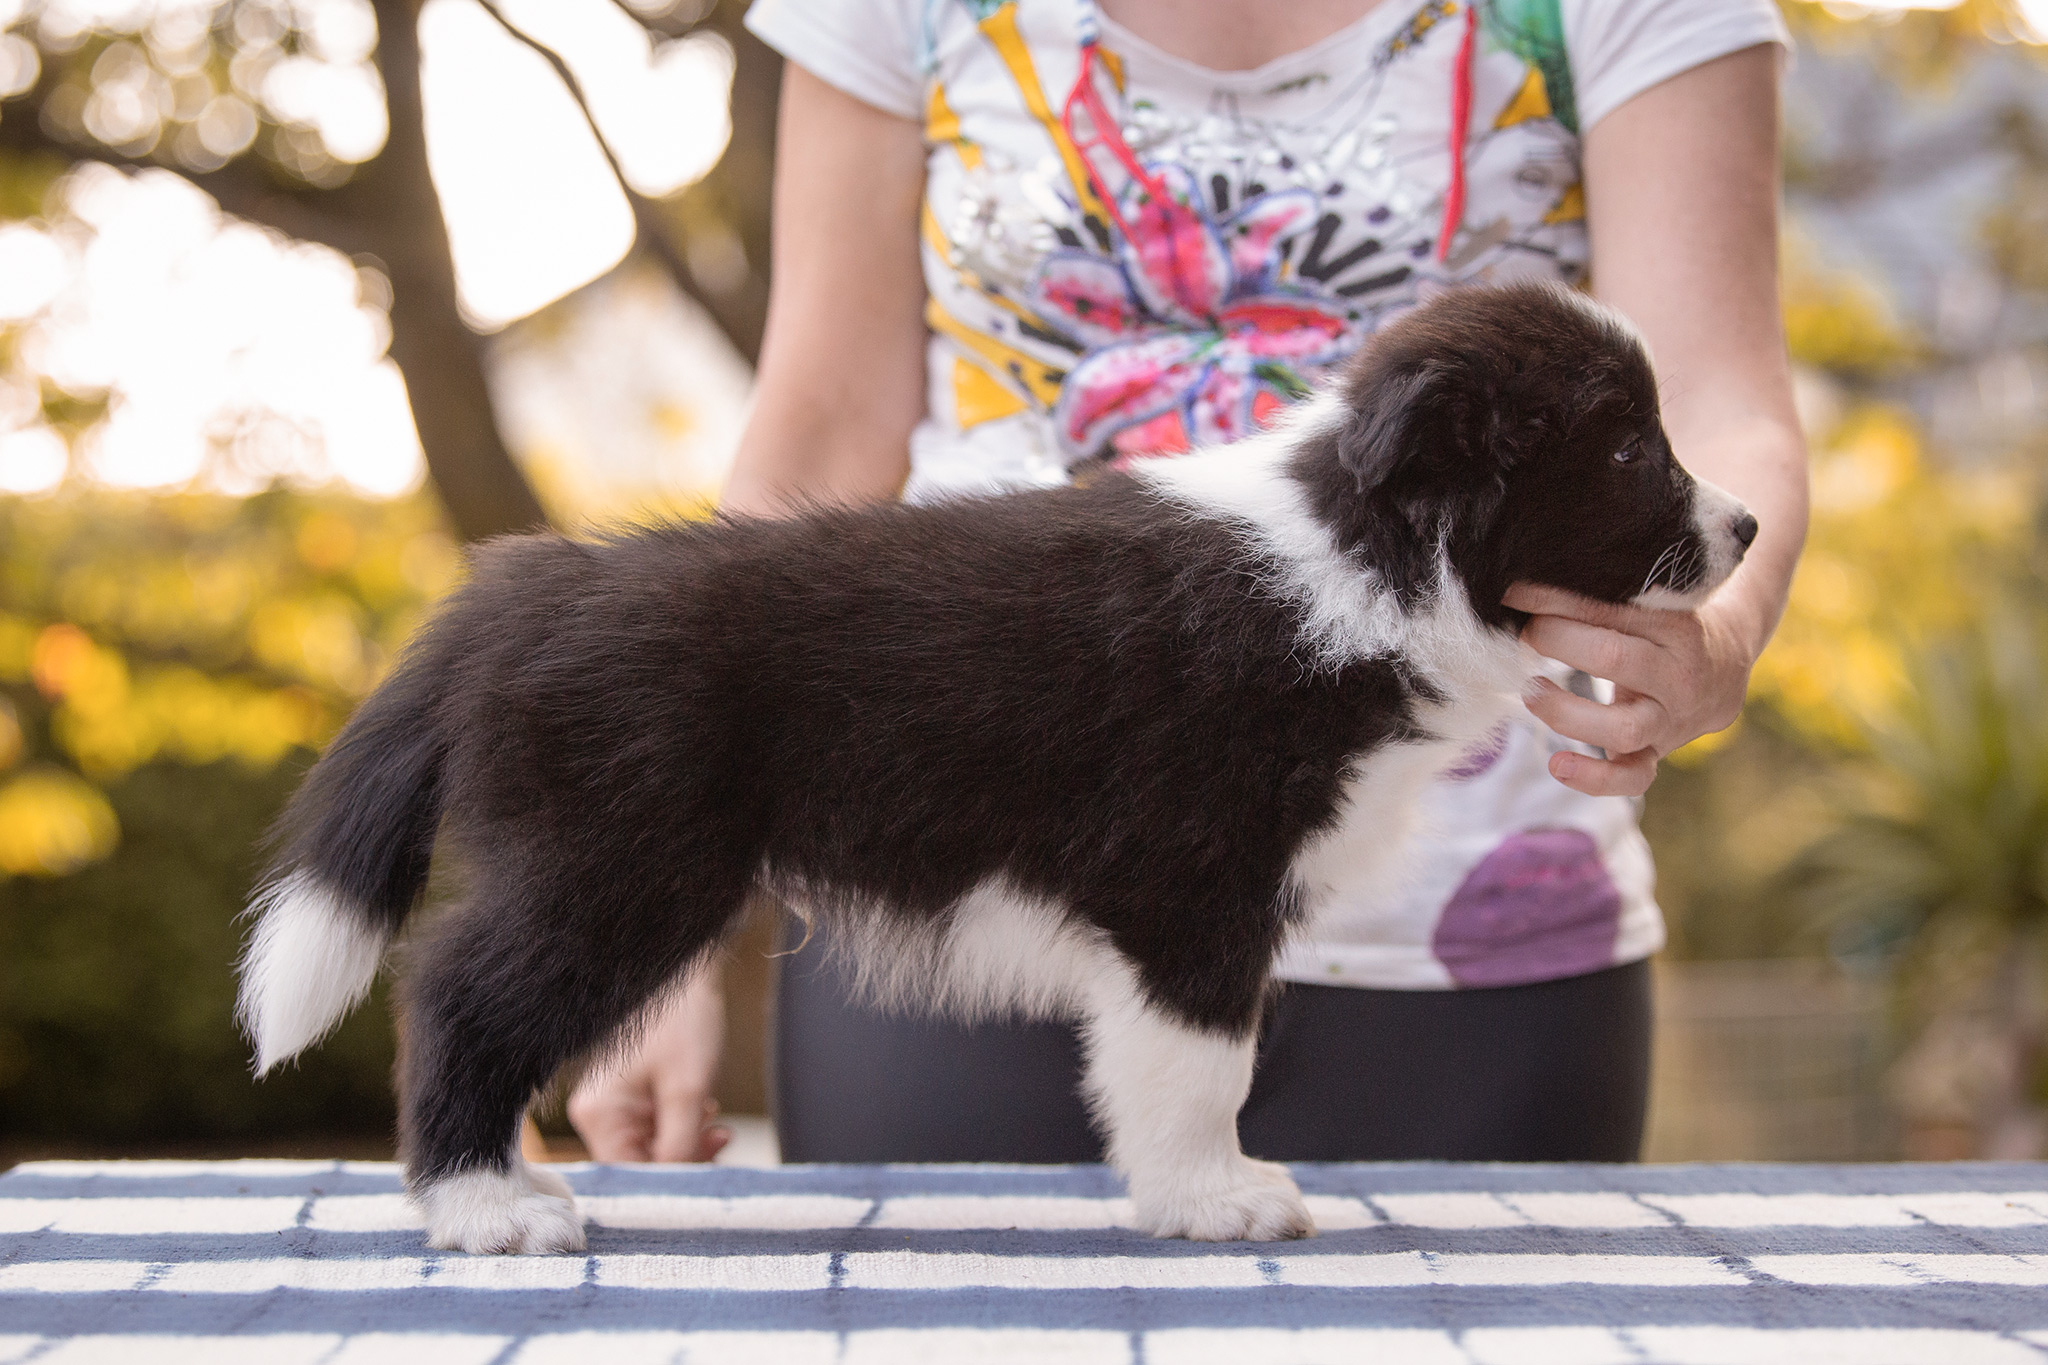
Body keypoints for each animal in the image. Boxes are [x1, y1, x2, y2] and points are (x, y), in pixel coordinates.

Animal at [235, 282, 1744, 1252]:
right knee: (458, 996)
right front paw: (1216, 1200)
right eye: (1627, 448)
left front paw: (1183, 1194)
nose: (1743, 528)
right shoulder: (1193, 885)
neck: (1364, 555)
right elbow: (1200, 1061)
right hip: (615, 864)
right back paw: (485, 1207)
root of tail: (519, 591)